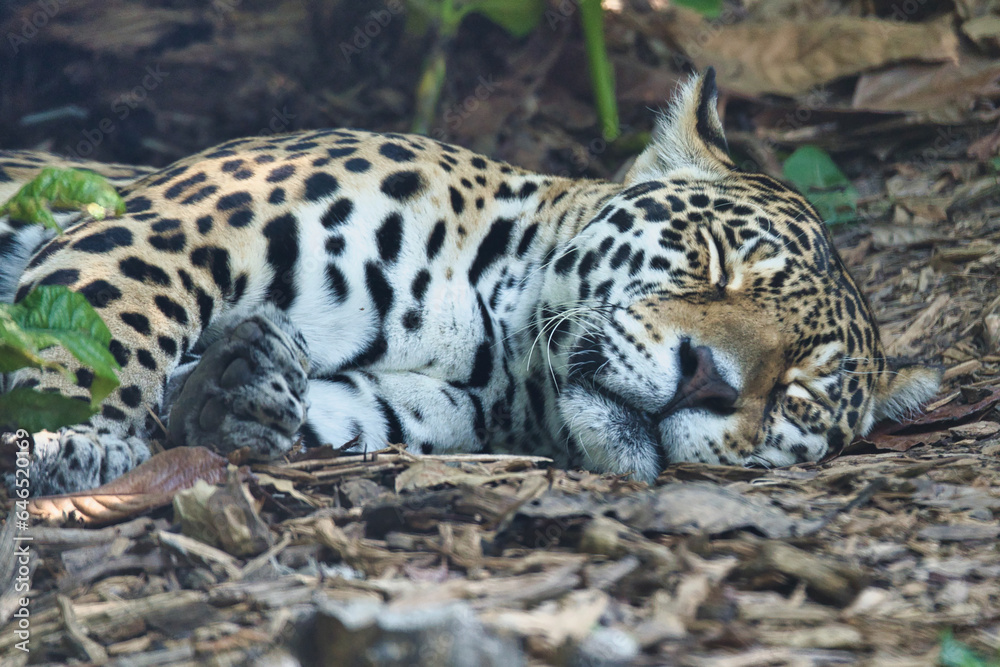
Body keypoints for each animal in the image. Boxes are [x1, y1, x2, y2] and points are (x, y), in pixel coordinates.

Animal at [0, 70, 940, 496]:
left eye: (797, 393)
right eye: (712, 257)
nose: (705, 378)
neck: (488, 338)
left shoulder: (401, 410)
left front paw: (234, 395)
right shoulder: (181, 223)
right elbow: (105, 325)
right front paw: (58, 439)